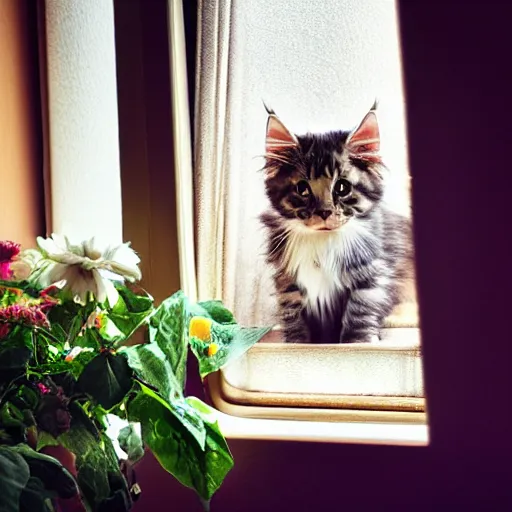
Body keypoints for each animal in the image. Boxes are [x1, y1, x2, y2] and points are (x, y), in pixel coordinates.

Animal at [262, 104, 414, 344]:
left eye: (342, 188)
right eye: (302, 189)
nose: (324, 212)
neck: (322, 243)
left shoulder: (371, 275)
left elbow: (359, 312)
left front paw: (358, 342)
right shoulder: (288, 282)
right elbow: (294, 317)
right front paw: (297, 343)